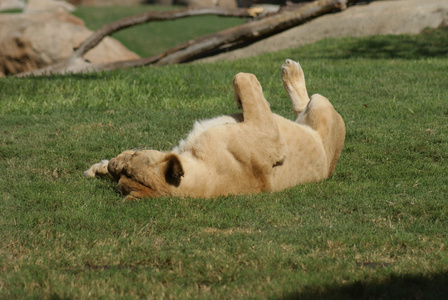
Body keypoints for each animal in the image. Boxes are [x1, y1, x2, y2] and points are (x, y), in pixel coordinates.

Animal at [85, 59, 346, 199]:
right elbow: (244, 78)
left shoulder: (271, 137)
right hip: (321, 104)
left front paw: (100, 167)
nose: (113, 165)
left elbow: (243, 80)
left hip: (318, 105)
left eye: (133, 159)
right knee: (304, 104)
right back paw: (291, 71)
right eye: (121, 175)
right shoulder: (269, 134)